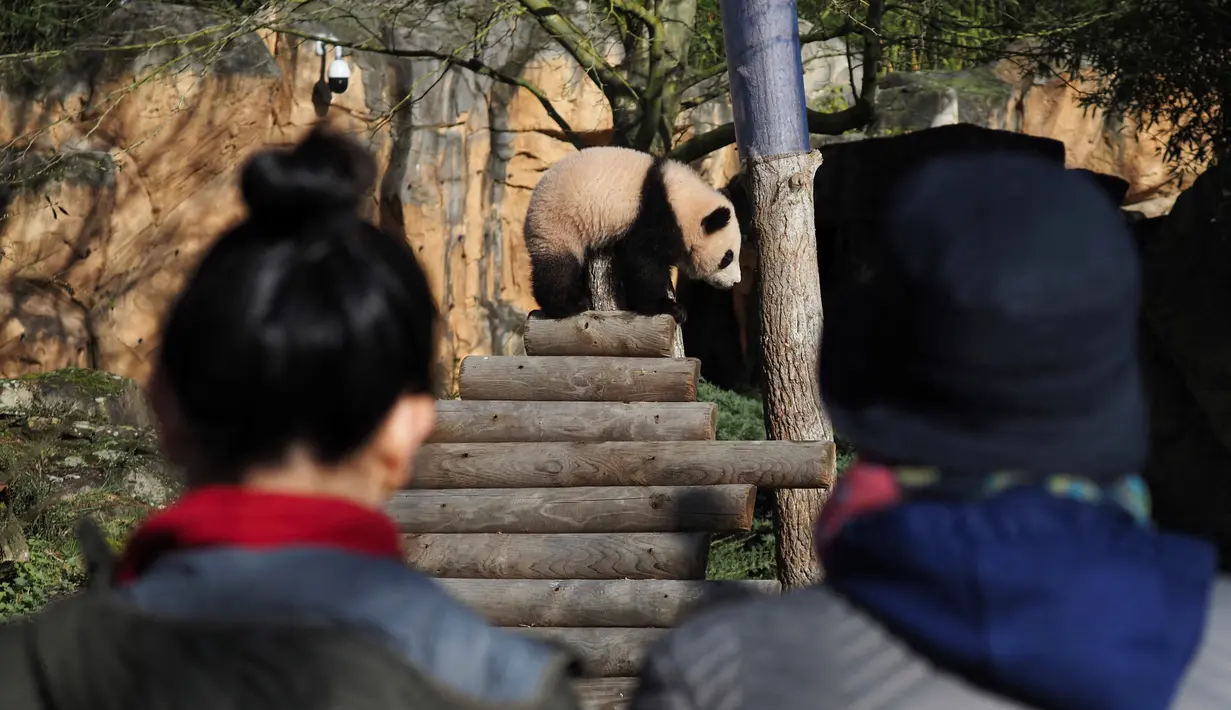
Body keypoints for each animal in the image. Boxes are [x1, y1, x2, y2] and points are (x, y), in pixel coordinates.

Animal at [523, 146, 742, 323]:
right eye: (728, 256)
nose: (736, 282)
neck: (683, 202)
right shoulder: (654, 215)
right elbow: (642, 261)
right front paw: (671, 308)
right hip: (559, 224)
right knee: (558, 268)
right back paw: (569, 305)